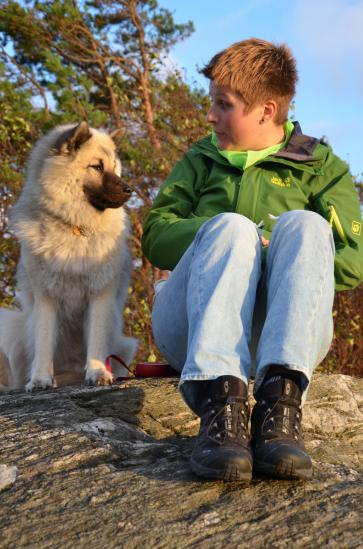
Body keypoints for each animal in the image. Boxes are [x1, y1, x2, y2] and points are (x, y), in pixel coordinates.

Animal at [0, 122, 138, 392]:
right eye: (97, 167)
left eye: (114, 168)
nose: (129, 190)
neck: (76, 226)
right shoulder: (46, 297)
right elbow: (44, 341)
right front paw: (40, 379)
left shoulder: (100, 294)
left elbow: (96, 339)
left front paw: (97, 373)